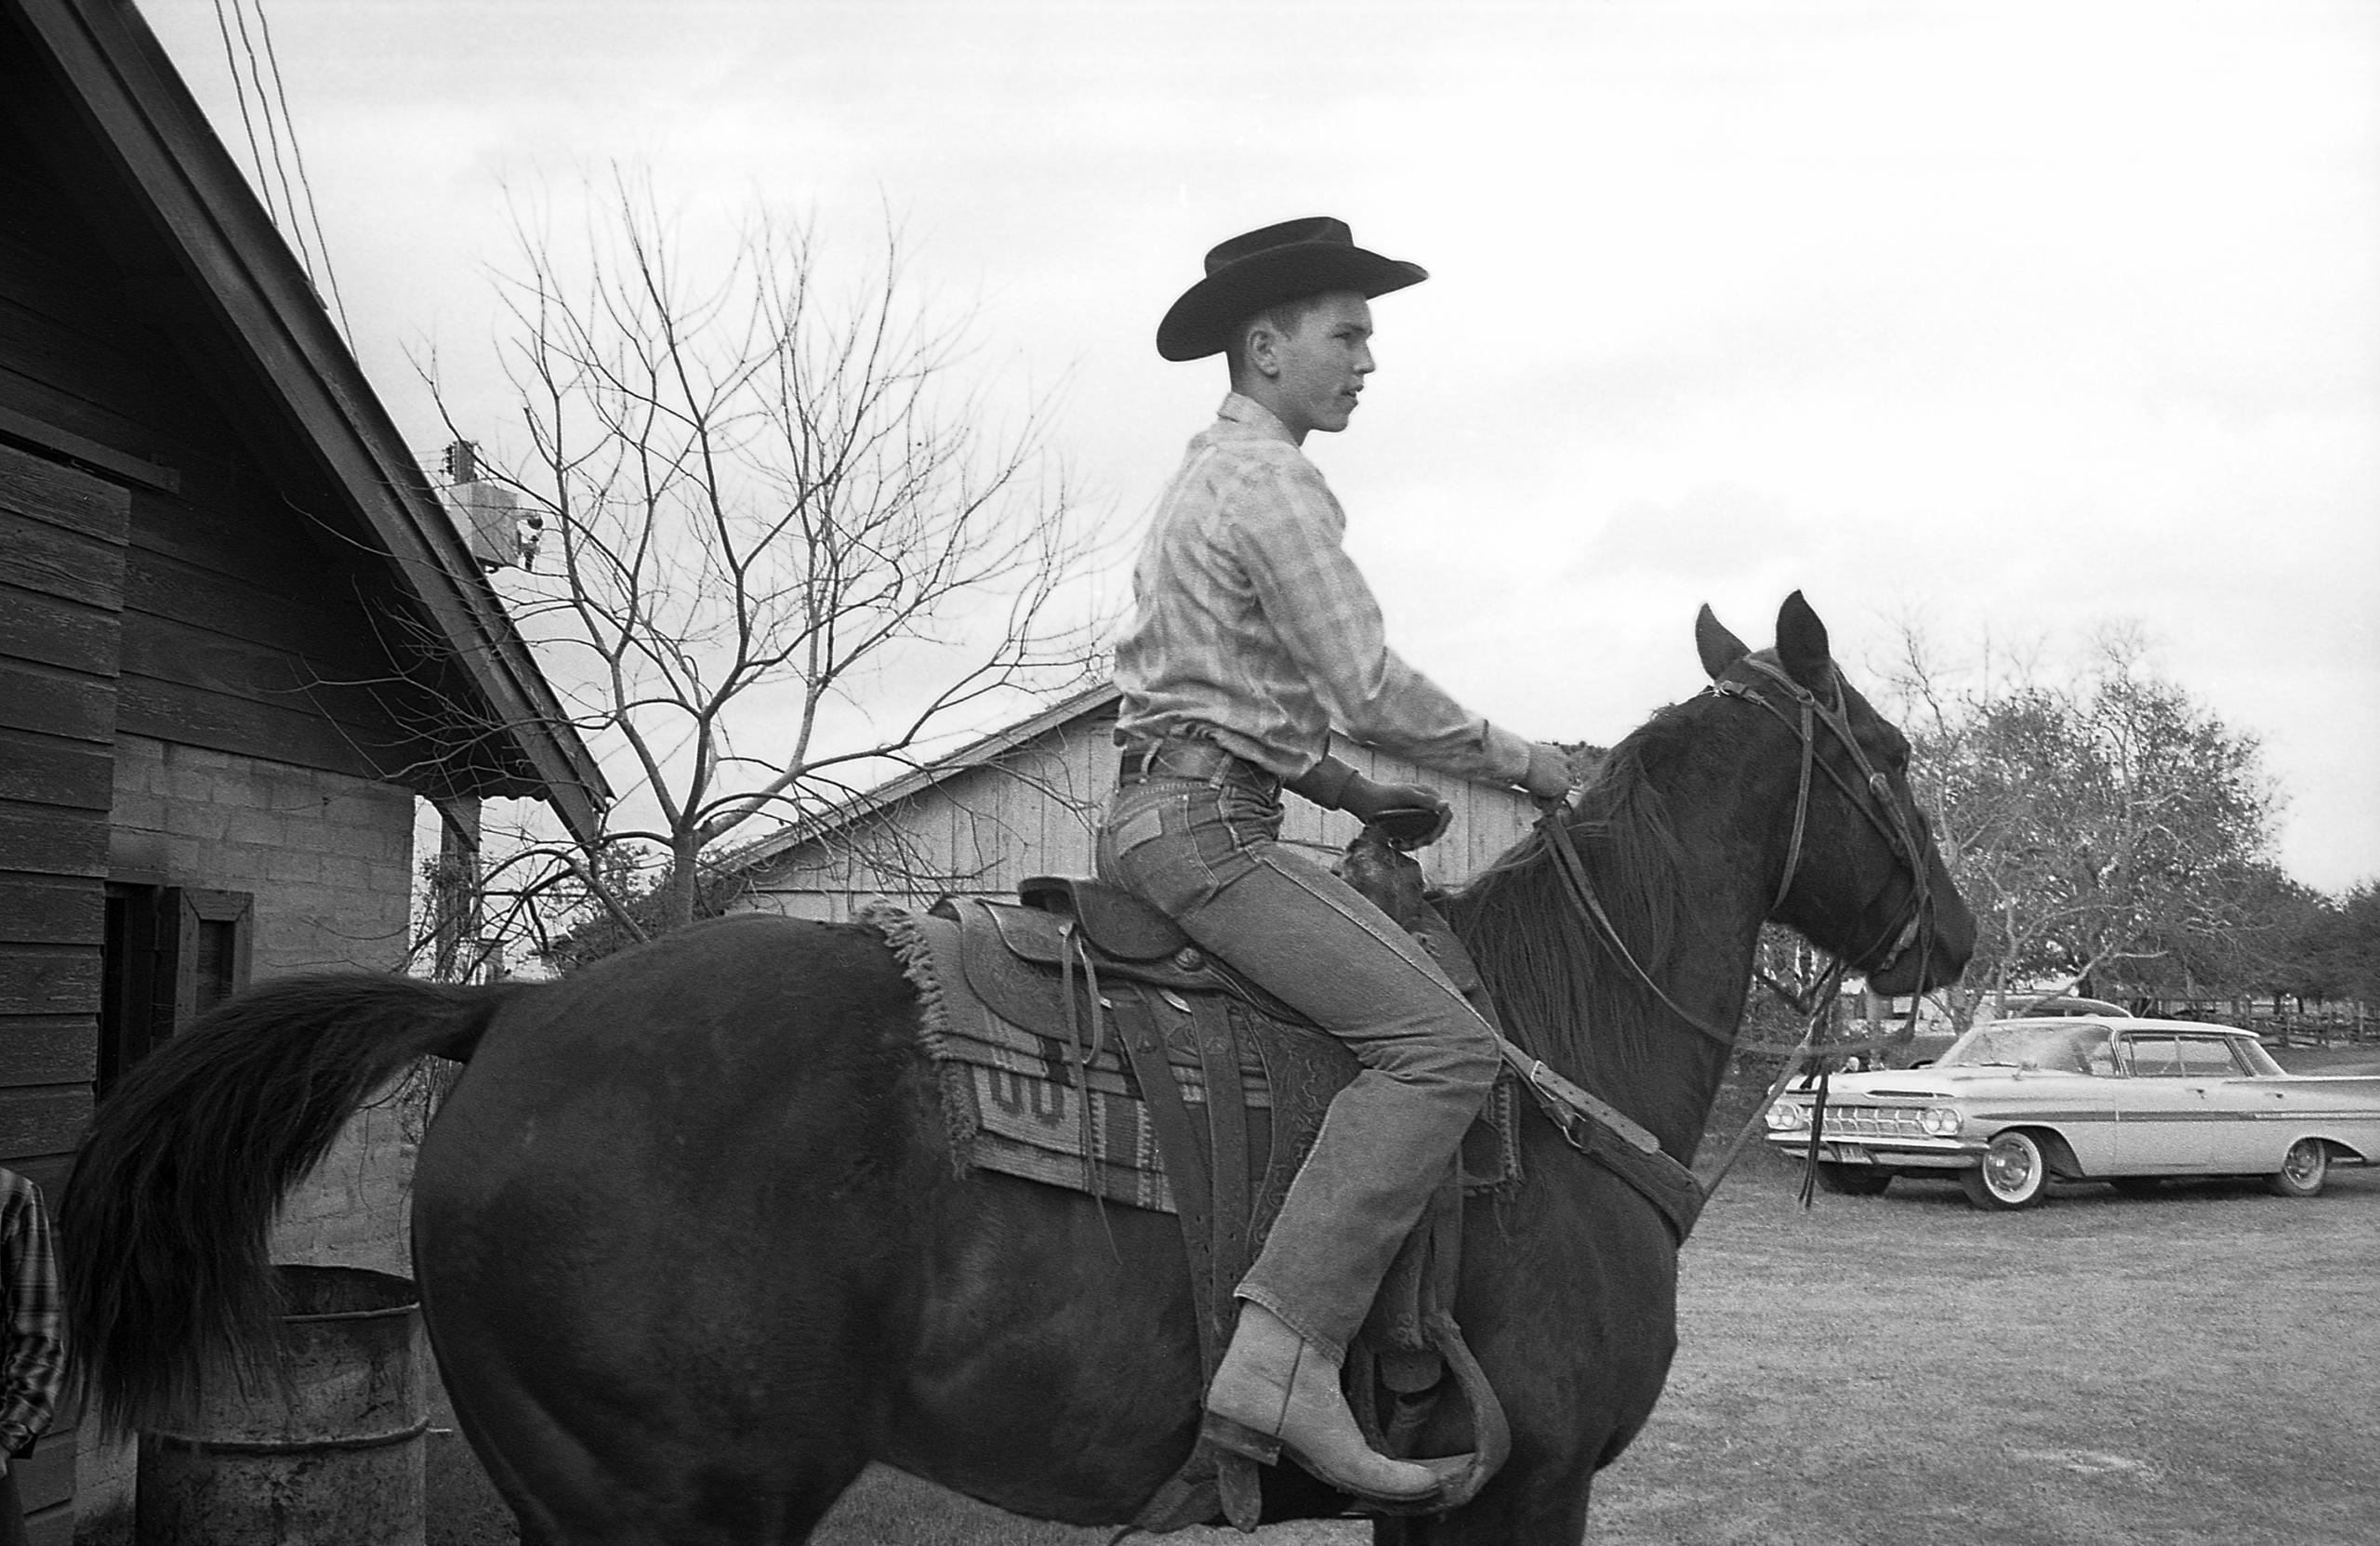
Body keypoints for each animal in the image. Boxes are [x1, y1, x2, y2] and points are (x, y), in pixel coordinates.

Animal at [65, 592, 1979, 1540]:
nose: (1956, 935)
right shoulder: (1527, 1490)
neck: (1552, 1054)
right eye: (1887, 750)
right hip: (669, 1504)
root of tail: (506, 1015)